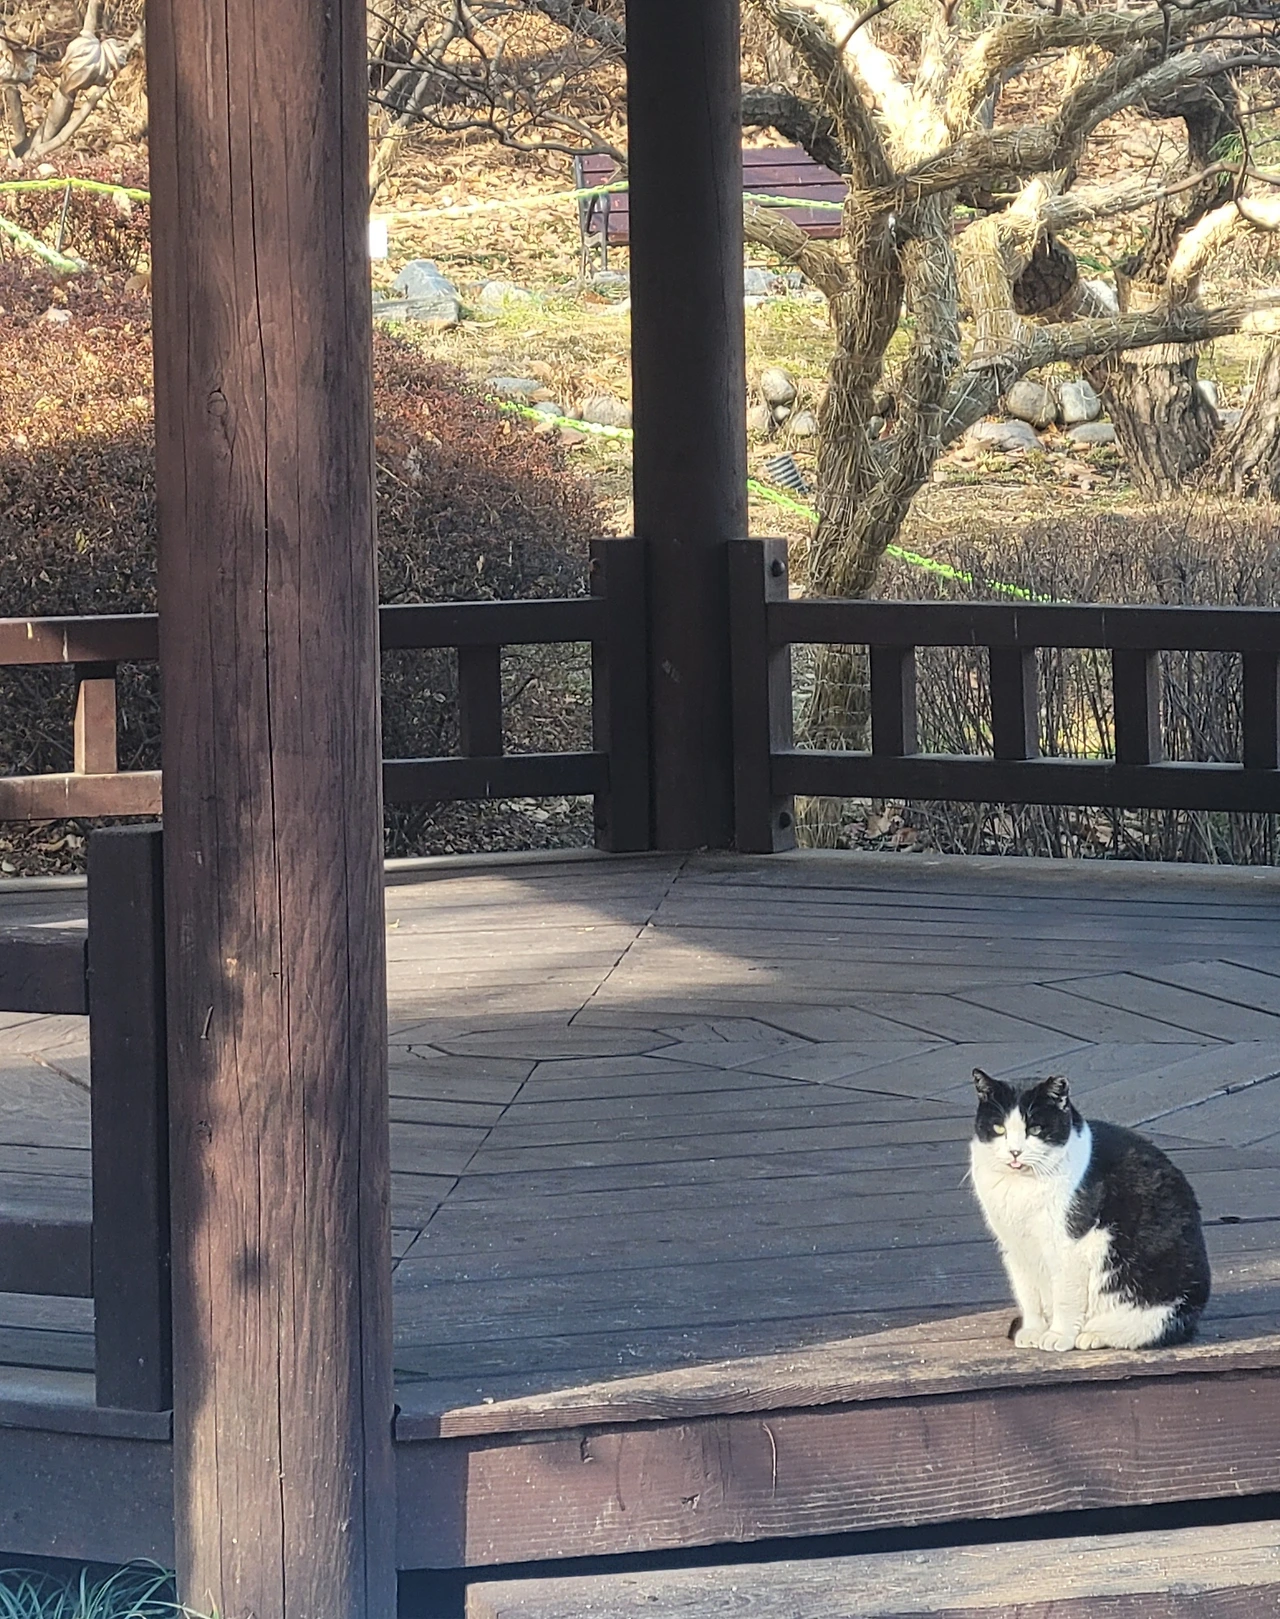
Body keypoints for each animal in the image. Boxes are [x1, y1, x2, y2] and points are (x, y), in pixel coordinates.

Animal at [969, 1069, 1211, 1352]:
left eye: (1035, 1129)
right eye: (999, 1128)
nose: (1015, 1152)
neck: (1021, 1188)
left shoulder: (1070, 1247)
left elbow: (1065, 1297)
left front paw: (1058, 1335)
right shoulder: (1015, 1248)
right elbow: (1028, 1294)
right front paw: (1033, 1330)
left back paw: (1092, 1335)